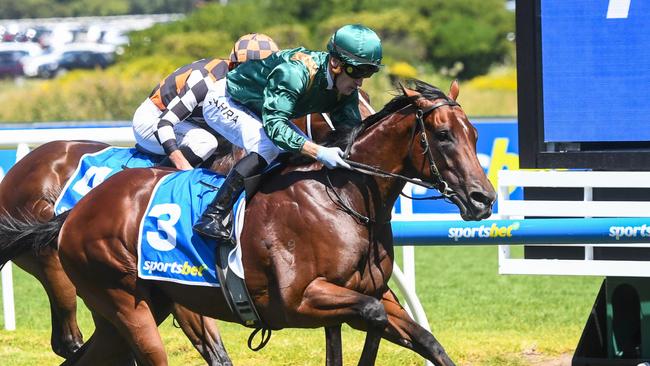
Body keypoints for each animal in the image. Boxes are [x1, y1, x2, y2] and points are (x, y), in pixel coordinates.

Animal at [0, 81, 492, 364]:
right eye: (443, 135)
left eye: (475, 134)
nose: (483, 198)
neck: (341, 195)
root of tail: (76, 212)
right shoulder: (297, 301)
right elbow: (367, 316)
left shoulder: (372, 293)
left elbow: (426, 340)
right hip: (117, 300)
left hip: (131, 310)